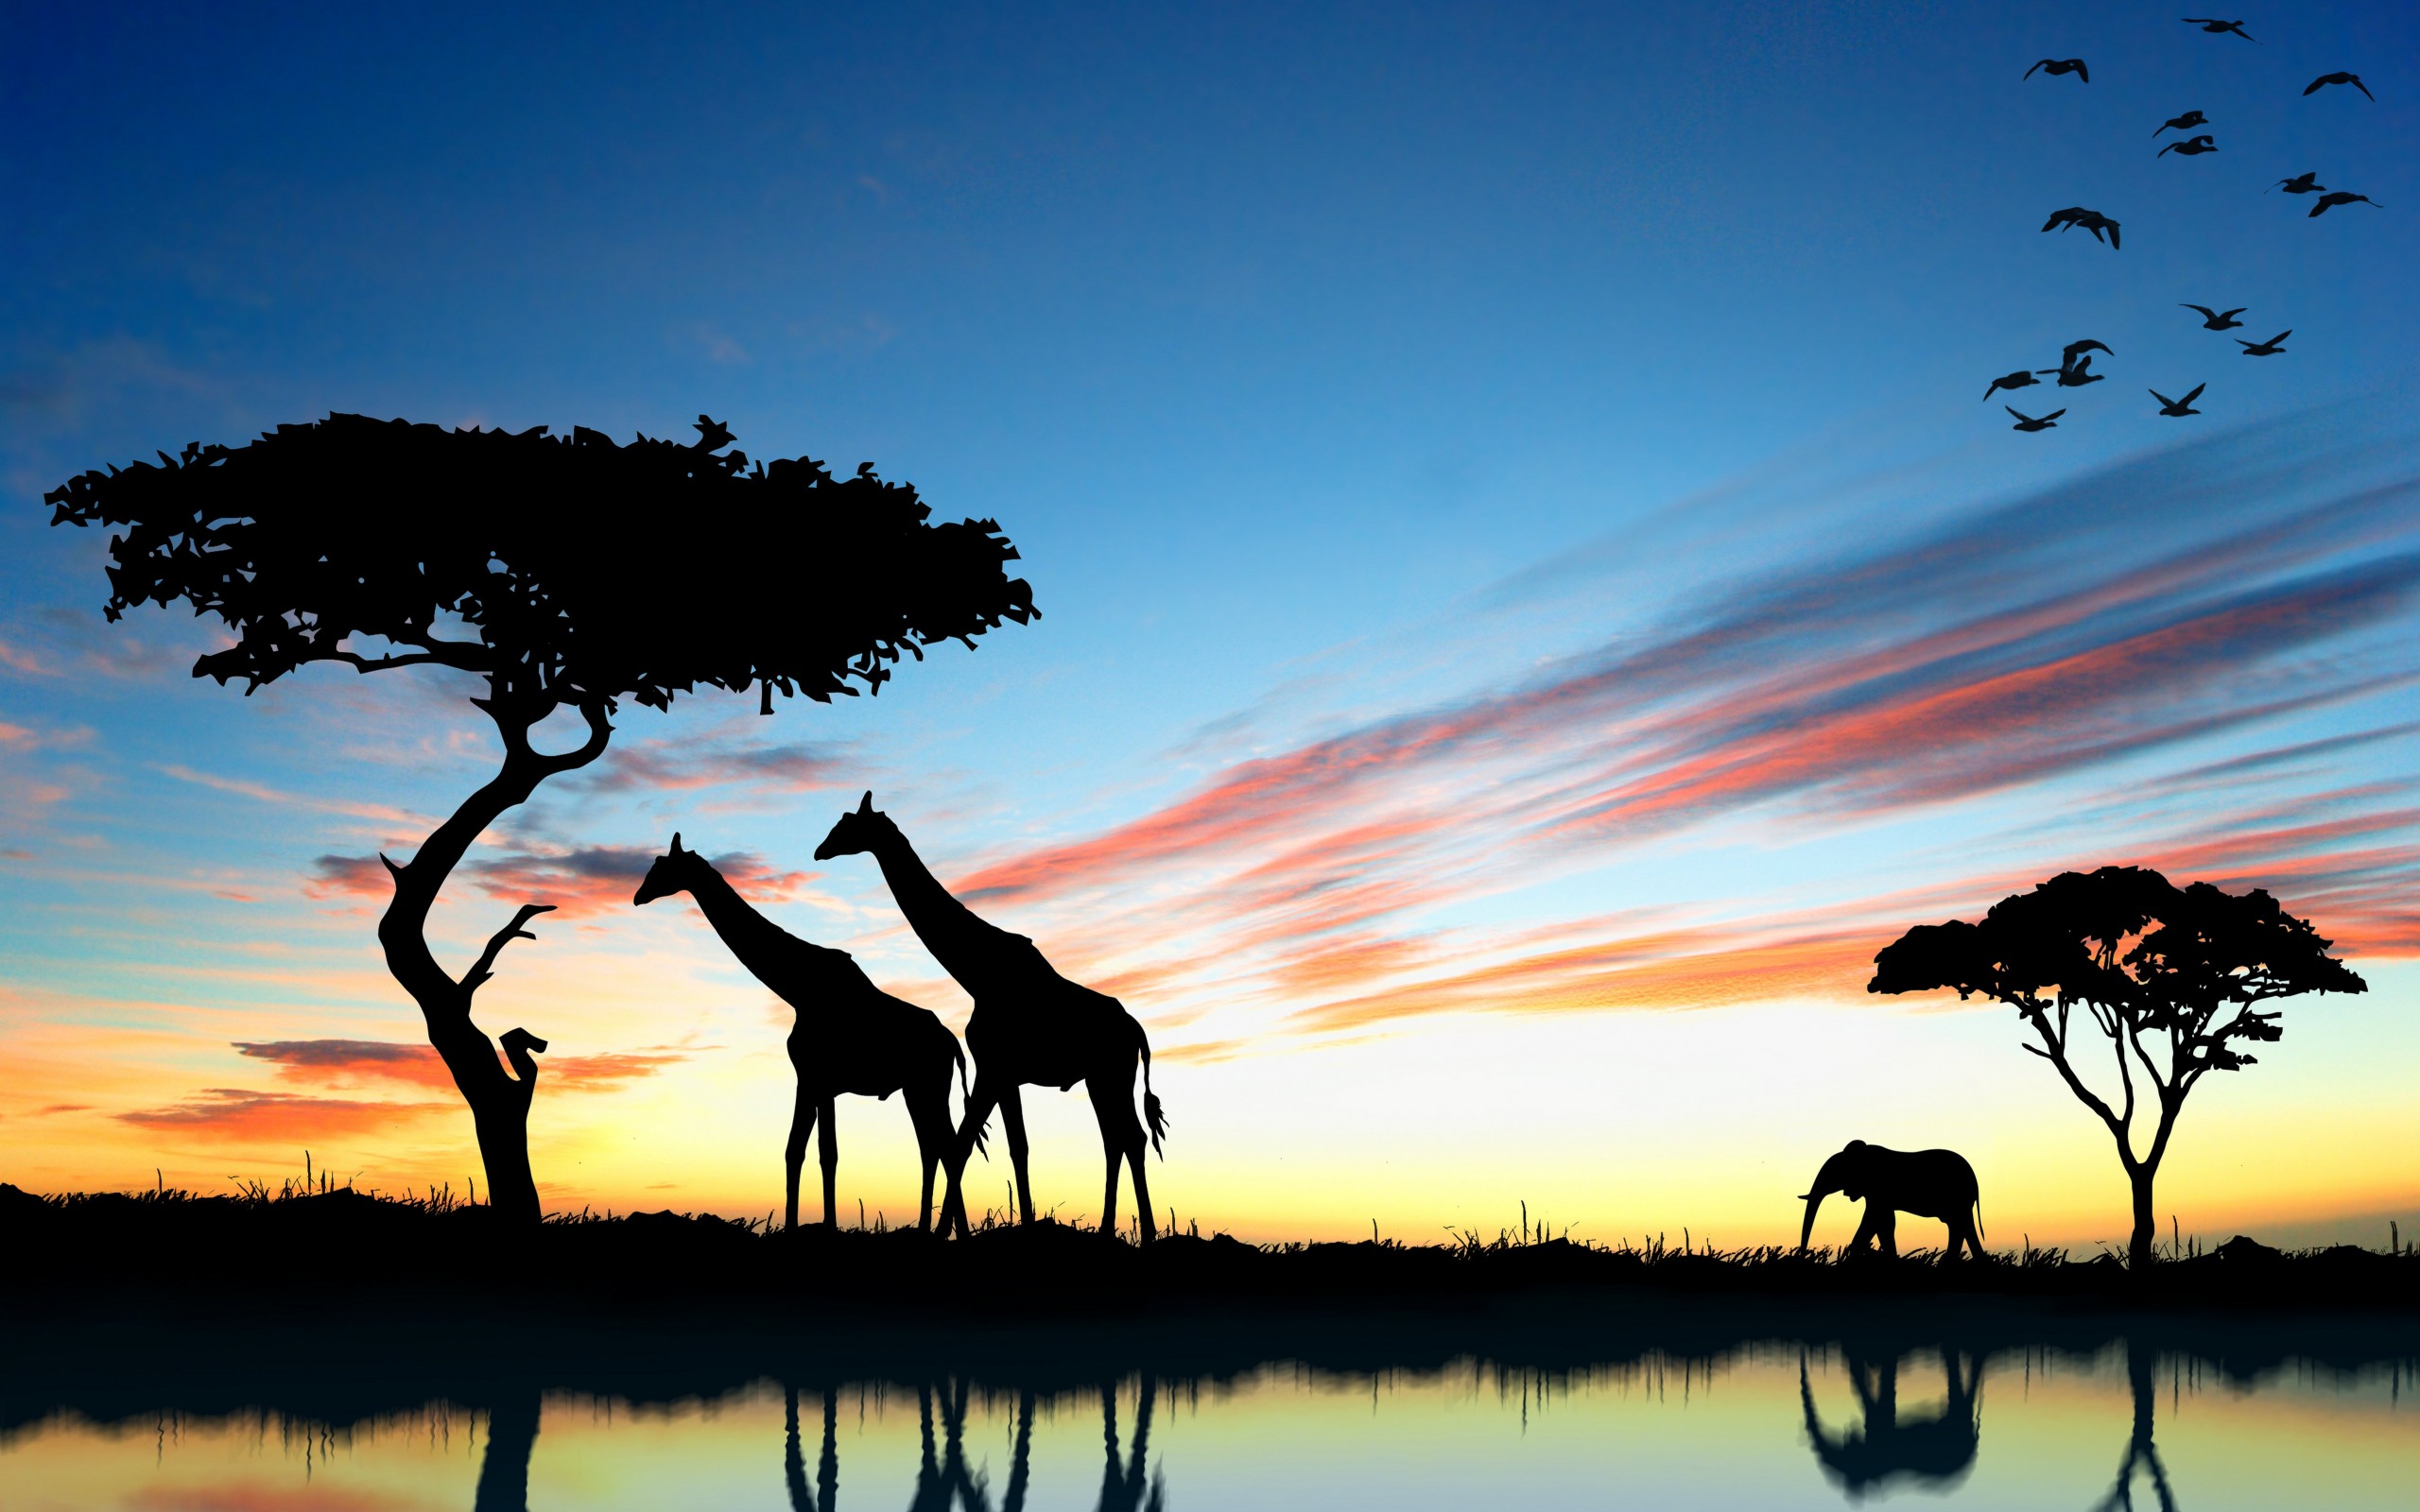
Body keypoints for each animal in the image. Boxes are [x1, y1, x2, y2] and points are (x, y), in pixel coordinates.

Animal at [634, 834, 970, 1232]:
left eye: (661, 867)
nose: (638, 896)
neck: (797, 988)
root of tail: (951, 1043)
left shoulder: (820, 1079)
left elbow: (827, 1153)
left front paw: (827, 1227)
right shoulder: (808, 1079)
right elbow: (796, 1150)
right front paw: (795, 1226)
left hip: (929, 1085)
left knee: (945, 1147)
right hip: (916, 1089)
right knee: (934, 1149)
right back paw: (929, 1230)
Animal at [814, 792, 1167, 1241]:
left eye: (847, 824)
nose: (819, 851)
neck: (977, 974)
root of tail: (1136, 1031)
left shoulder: (993, 1068)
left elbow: (965, 1144)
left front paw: (944, 1233)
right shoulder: (1004, 1073)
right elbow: (1015, 1146)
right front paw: (1022, 1226)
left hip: (1113, 1073)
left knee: (1131, 1137)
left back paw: (1147, 1234)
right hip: (1099, 1077)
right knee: (1117, 1139)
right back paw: (1109, 1231)